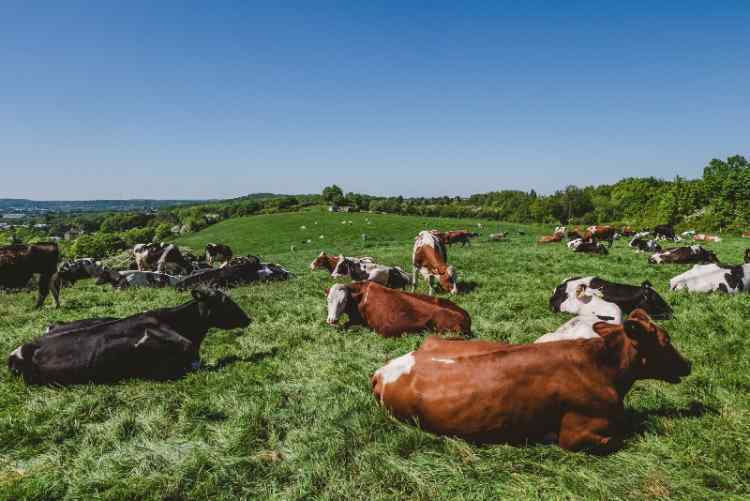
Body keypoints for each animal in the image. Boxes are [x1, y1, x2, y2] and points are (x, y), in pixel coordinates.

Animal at [372, 309, 691, 453]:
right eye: (665, 340)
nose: (688, 364)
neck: (602, 368)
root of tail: (385, 369)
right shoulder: (576, 435)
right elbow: (624, 437)